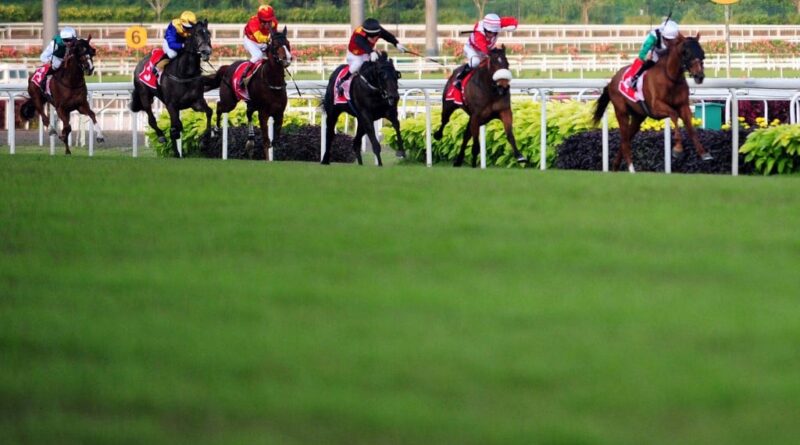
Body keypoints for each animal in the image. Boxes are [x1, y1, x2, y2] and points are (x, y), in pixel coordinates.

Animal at [130, 19, 212, 158]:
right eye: (196, 34)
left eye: (209, 34)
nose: (206, 51)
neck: (185, 74)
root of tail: (140, 62)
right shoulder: (171, 104)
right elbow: (176, 126)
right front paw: (176, 147)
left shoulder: (196, 102)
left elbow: (209, 112)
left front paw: (204, 142)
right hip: (144, 95)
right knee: (152, 119)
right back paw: (162, 137)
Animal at [208, 26, 292, 160]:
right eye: (275, 45)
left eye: (288, 43)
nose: (287, 59)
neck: (272, 82)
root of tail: (227, 67)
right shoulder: (263, 113)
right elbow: (266, 141)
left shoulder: (279, 113)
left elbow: (275, 140)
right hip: (229, 102)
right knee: (219, 106)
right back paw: (215, 131)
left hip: (250, 103)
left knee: (248, 113)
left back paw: (250, 140)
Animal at [592, 32, 708, 172]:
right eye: (686, 52)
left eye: (702, 52)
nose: (699, 76)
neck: (670, 78)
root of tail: (611, 81)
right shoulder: (656, 107)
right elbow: (674, 115)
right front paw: (678, 149)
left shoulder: (684, 106)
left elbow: (691, 129)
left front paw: (704, 153)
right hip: (621, 112)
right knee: (625, 142)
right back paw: (632, 169)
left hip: (638, 117)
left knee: (625, 140)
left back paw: (615, 167)